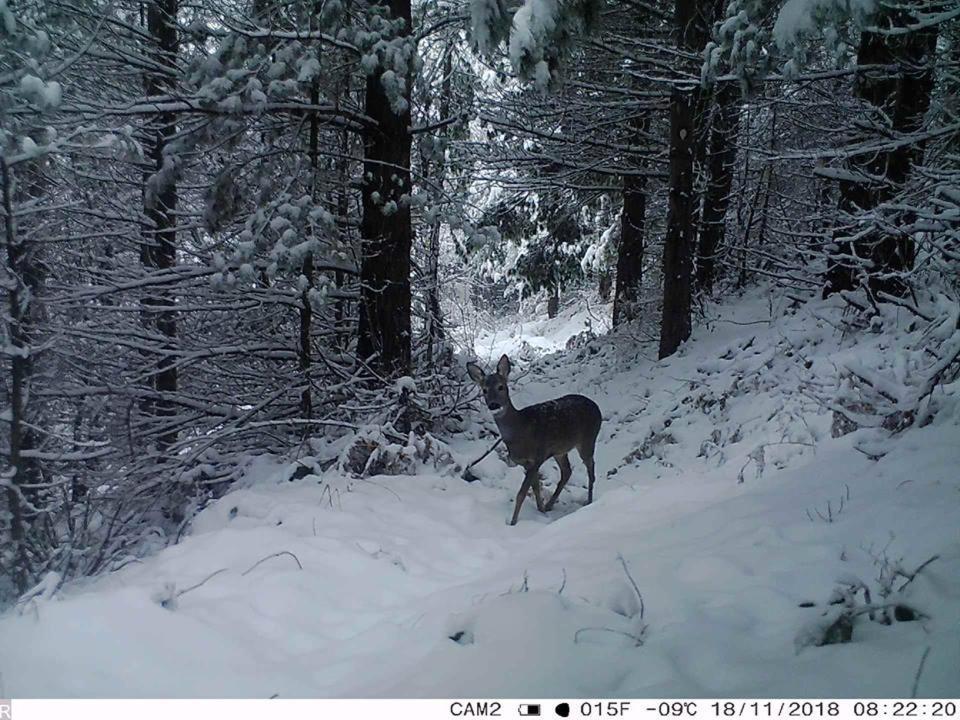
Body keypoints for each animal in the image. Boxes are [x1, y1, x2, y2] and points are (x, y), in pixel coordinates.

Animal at [464, 358, 600, 524]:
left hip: (588, 439)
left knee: (591, 469)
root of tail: (596, 406)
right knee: (567, 471)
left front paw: (513, 522)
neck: (520, 430)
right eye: (484, 390)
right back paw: (550, 505)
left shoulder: (537, 457)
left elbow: (521, 493)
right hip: (560, 450)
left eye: (501, 386)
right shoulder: (527, 462)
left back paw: (589, 502)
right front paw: (541, 511)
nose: (494, 405)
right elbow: (535, 488)